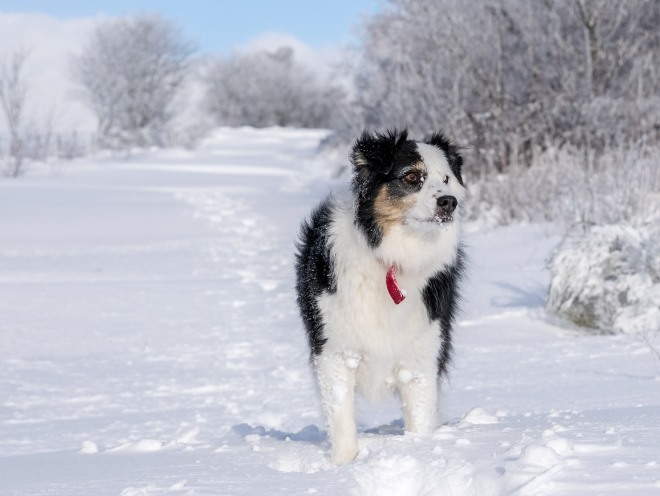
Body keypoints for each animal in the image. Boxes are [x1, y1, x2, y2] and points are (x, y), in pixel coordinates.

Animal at [294, 129, 464, 464]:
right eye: (412, 177)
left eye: (447, 179)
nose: (448, 202)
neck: (394, 258)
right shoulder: (335, 351)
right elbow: (342, 419)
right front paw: (344, 465)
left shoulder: (422, 355)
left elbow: (421, 418)